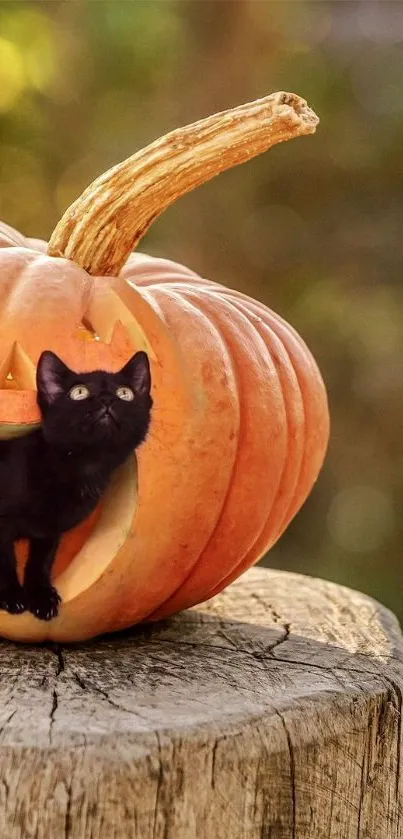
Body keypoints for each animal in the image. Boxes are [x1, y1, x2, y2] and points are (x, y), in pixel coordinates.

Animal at [0, 352, 153, 620]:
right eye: (79, 392)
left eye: (125, 393)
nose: (107, 399)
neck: (83, 467)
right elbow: (4, 561)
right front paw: (11, 595)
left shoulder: (49, 530)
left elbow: (41, 562)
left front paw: (41, 597)